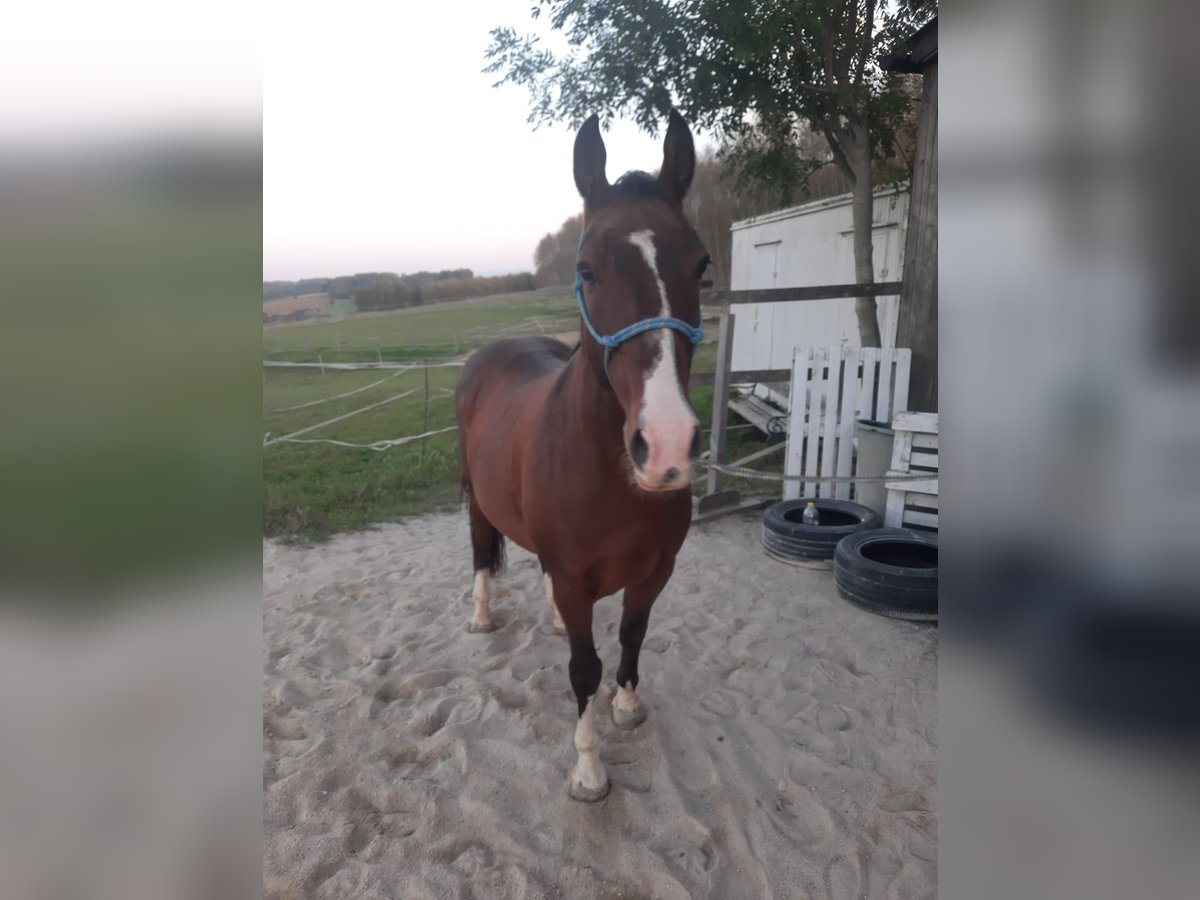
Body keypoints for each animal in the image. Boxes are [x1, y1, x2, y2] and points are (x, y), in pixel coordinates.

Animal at [453, 112, 705, 801]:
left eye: (701, 264)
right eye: (587, 268)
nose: (666, 445)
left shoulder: (656, 570)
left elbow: (631, 636)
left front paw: (627, 706)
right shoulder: (573, 579)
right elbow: (583, 669)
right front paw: (589, 771)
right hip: (475, 497)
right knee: (480, 548)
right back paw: (482, 617)